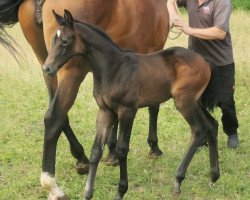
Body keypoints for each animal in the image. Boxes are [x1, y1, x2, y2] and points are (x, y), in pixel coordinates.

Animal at [44, 10, 220, 199]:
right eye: (53, 39)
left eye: (65, 41)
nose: (47, 68)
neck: (112, 69)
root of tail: (204, 62)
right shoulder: (105, 111)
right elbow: (96, 150)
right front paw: (88, 193)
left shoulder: (127, 110)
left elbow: (122, 149)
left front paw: (121, 191)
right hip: (196, 101)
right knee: (212, 125)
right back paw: (213, 176)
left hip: (183, 101)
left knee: (198, 129)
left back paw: (178, 180)